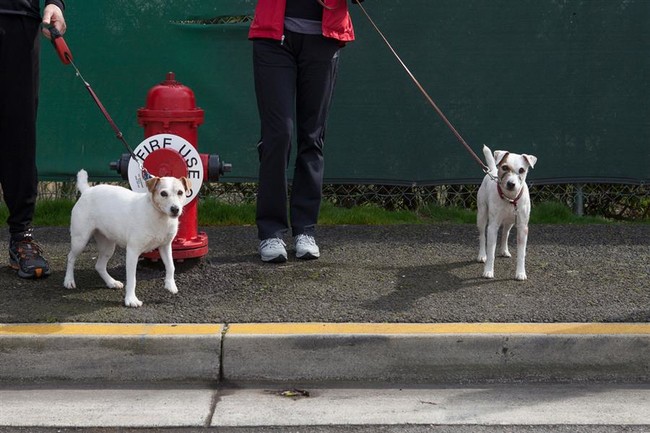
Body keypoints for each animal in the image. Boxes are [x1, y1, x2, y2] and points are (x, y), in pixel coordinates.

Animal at [63, 169, 190, 308]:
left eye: (180, 192)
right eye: (163, 193)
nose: (175, 209)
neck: (159, 216)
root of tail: (87, 190)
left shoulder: (165, 246)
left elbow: (171, 266)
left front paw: (170, 284)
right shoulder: (133, 252)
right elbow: (132, 279)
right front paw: (131, 299)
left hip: (108, 247)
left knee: (99, 266)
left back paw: (111, 282)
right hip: (80, 240)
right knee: (71, 257)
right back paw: (69, 280)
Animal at [476, 145, 536, 280]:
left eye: (522, 170)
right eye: (504, 167)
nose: (511, 184)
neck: (510, 198)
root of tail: (492, 170)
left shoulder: (523, 228)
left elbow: (521, 254)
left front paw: (520, 273)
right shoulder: (492, 227)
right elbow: (491, 252)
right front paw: (488, 271)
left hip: (510, 221)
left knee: (505, 233)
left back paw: (504, 250)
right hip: (481, 216)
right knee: (482, 236)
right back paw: (482, 255)